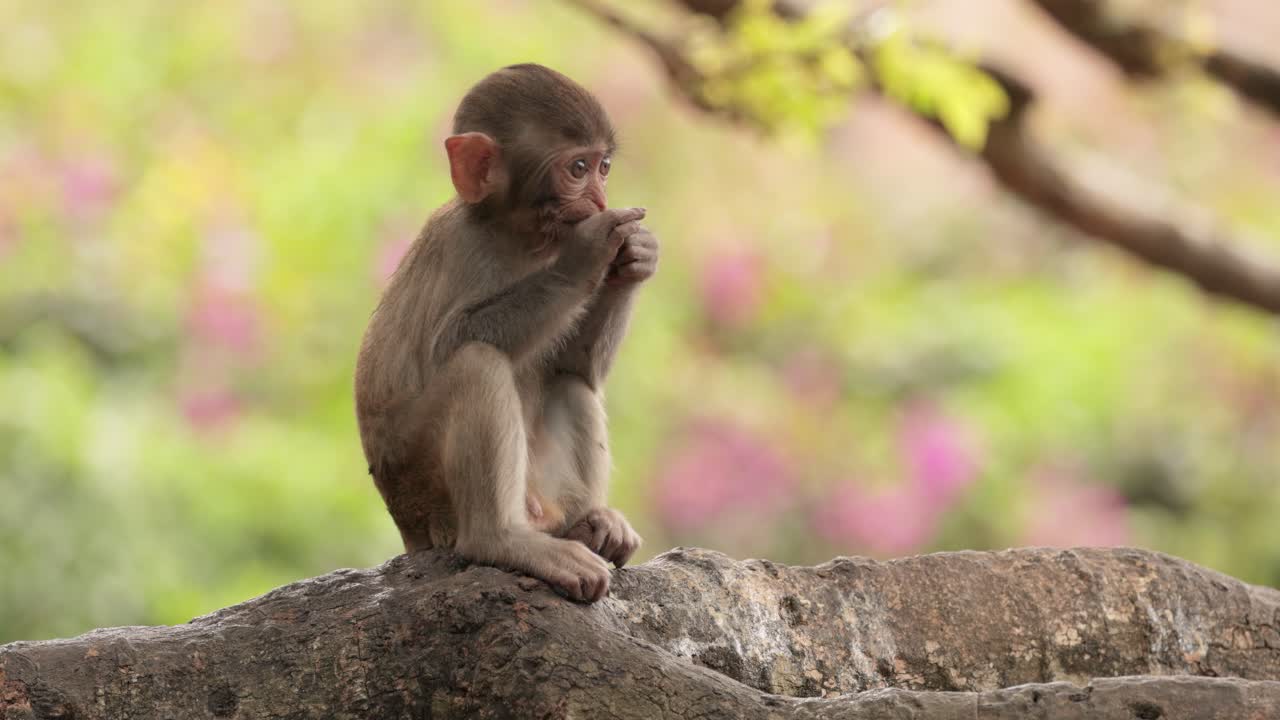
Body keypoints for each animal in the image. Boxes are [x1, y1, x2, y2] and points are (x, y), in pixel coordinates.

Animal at [355, 64, 657, 603]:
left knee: (569, 383)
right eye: (578, 169)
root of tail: (408, 533)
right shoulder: (462, 247)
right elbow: (454, 341)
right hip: (430, 498)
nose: (600, 200)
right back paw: (501, 540)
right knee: (477, 364)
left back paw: (589, 524)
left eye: (604, 167)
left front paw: (636, 257)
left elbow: (577, 366)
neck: (520, 235)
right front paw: (585, 256)